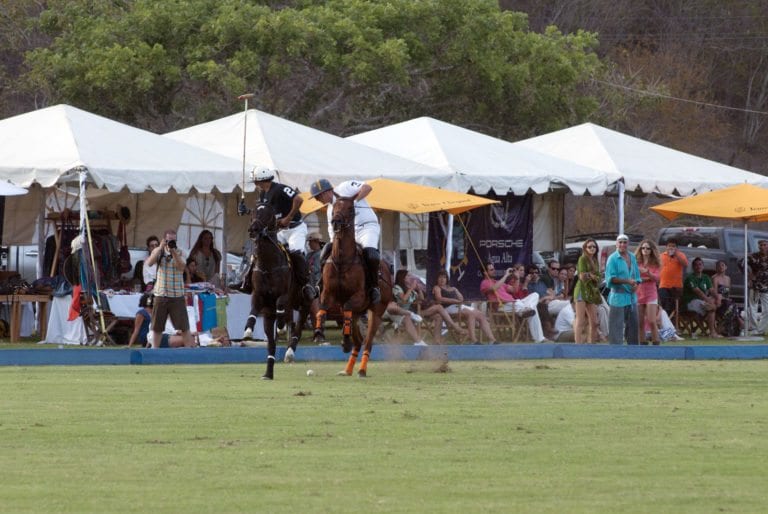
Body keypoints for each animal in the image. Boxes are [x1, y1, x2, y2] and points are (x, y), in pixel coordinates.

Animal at [243, 202, 308, 378]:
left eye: (268, 214)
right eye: (252, 212)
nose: (253, 230)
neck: (268, 264)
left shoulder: (284, 295)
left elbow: (280, 305)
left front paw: (281, 327)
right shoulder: (258, 295)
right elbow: (253, 311)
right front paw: (248, 331)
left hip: (306, 305)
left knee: (298, 328)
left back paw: (289, 352)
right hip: (269, 316)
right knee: (271, 344)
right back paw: (268, 373)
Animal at [316, 196, 392, 376]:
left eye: (351, 209)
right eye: (334, 207)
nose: (336, 222)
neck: (342, 261)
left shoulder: (357, 296)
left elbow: (347, 308)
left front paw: (344, 341)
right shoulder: (328, 293)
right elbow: (322, 308)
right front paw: (319, 331)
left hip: (376, 311)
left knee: (368, 341)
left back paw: (362, 370)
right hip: (359, 313)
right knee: (358, 341)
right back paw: (347, 369)